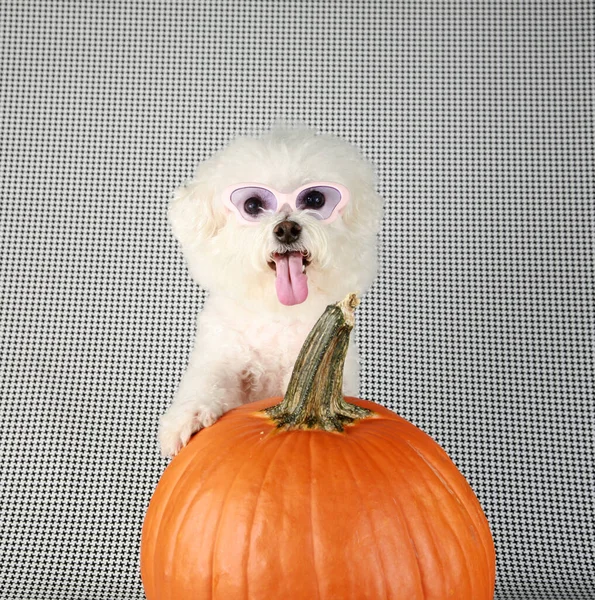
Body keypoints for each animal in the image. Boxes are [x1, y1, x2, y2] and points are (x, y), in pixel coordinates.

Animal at [158, 126, 384, 454]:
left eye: (314, 199)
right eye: (252, 205)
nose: (287, 229)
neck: (276, 313)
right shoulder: (221, 352)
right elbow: (205, 381)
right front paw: (190, 416)